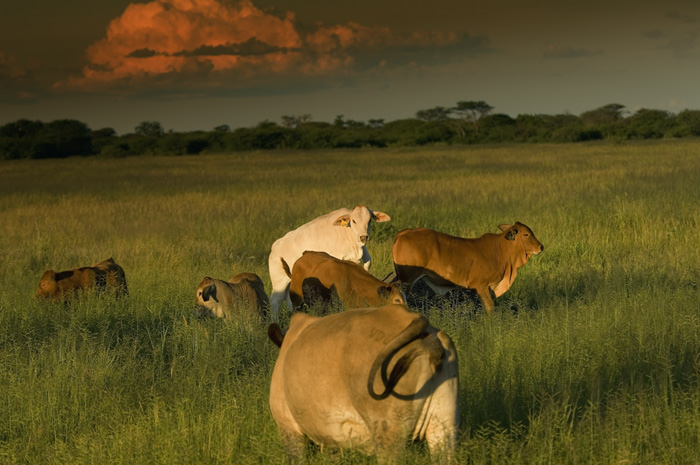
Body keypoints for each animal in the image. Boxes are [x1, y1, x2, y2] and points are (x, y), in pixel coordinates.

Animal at [392, 221, 544, 312]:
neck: (500, 251)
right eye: (526, 234)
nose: (541, 247)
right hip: (407, 280)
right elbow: (490, 307)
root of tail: (404, 232)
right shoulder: (481, 286)